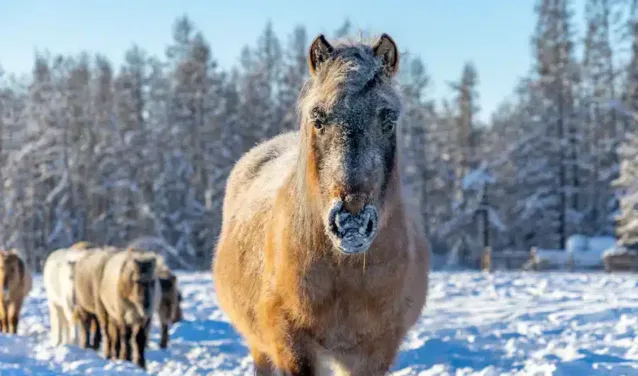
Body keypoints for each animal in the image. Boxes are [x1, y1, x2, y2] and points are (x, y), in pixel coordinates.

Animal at [214, 33, 430, 376]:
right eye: (318, 119)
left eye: (389, 120)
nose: (352, 222)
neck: (345, 273)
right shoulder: (292, 342)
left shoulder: (375, 350)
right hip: (260, 347)